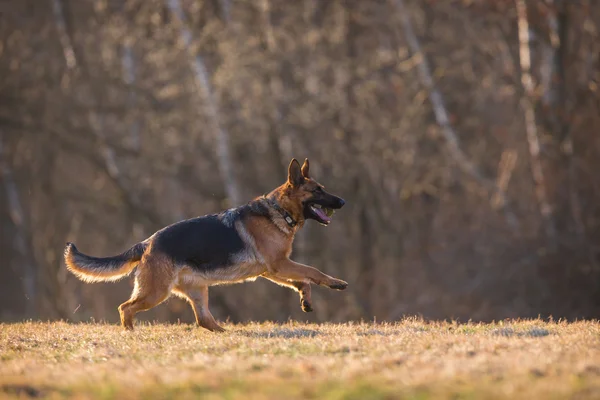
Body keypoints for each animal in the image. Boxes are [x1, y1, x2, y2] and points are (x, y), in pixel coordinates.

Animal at [63, 159, 346, 332]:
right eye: (317, 190)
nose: (343, 201)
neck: (278, 211)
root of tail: (147, 243)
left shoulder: (272, 270)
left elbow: (303, 280)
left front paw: (306, 300)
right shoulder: (279, 265)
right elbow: (312, 272)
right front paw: (335, 282)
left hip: (197, 291)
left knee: (204, 320)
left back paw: (225, 333)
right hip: (156, 293)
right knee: (126, 308)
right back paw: (131, 333)